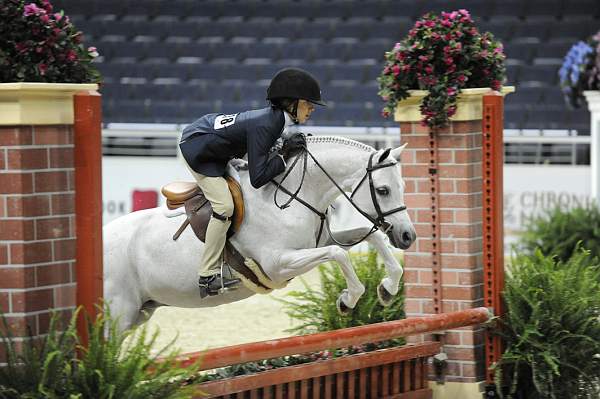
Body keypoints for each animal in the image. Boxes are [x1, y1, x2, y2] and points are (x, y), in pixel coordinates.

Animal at [103, 137, 414, 332]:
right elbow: (338, 253)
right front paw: (348, 300)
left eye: (403, 186)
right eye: (383, 190)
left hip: (140, 312)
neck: (294, 195)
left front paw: (387, 288)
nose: (407, 236)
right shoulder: (277, 264)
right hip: (118, 316)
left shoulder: (319, 242)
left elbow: (370, 237)